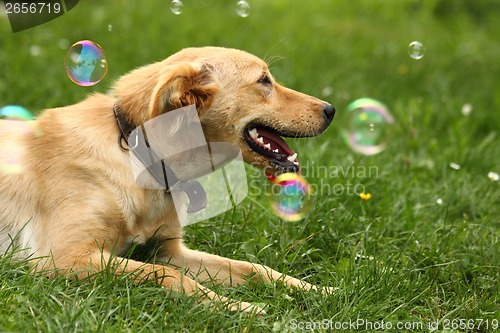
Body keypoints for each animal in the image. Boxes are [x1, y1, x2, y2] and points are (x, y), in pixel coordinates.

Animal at [1, 46, 336, 314]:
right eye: (264, 81)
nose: (331, 110)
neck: (138, 154)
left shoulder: (168, 251)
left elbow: (255, 268)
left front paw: (318, 291)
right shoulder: (63, 257)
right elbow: (167, 275)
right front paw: (240, 307)